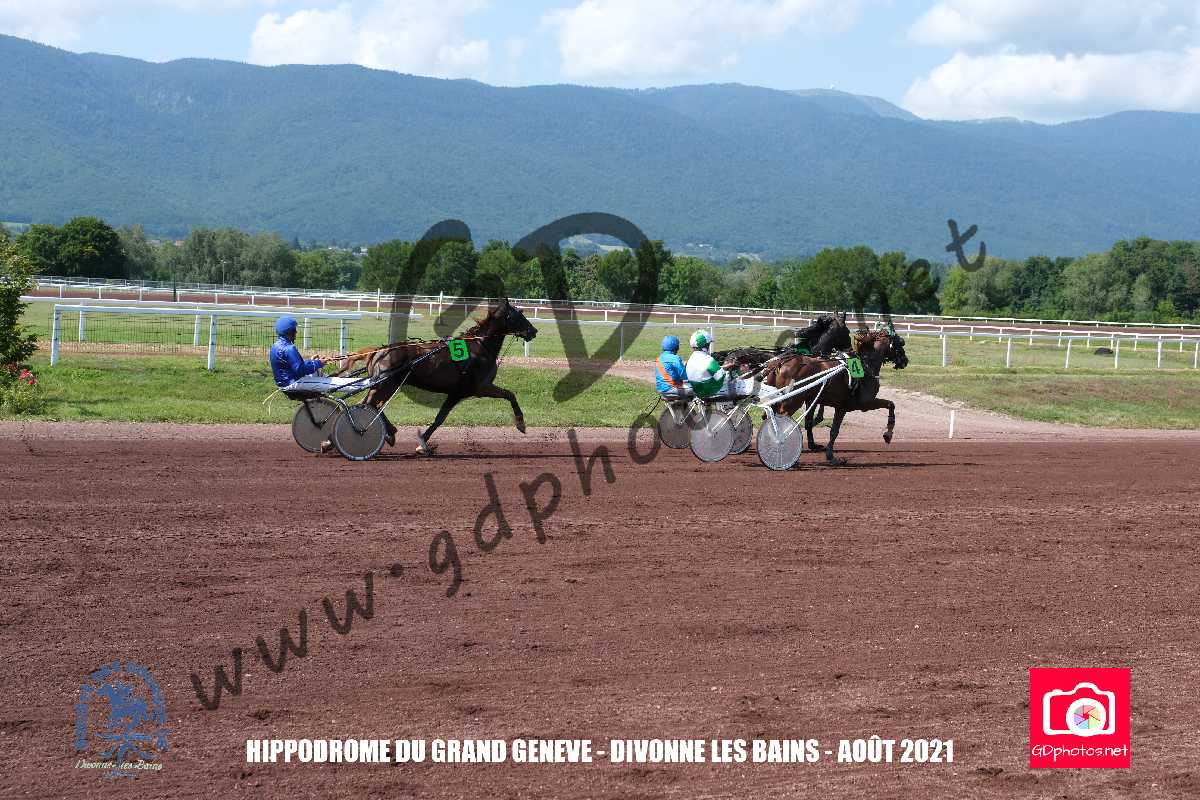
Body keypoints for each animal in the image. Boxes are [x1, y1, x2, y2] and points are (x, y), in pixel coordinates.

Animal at [362, 298, 538, 455]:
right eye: (519, 315)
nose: (534, 331)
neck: (480, 347)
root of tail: (379, 352)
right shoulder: (478, 388)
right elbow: (510, 395)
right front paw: (521, 424)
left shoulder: (459, 392)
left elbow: (440, 417)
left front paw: (423, 444)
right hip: (386, 385)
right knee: (370, 404)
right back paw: (383, 433)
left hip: (384, 386)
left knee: (369, 404)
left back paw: (389, 433)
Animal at [761, 326, 908, 465]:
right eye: (900, 343)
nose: (905, 360)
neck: (866, 366)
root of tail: (778, 363)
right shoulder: (862, 404)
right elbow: (890, 404)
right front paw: (888, 434)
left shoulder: (826, 403)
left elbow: (822, 426)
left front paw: (822, 451)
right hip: (793, 401)